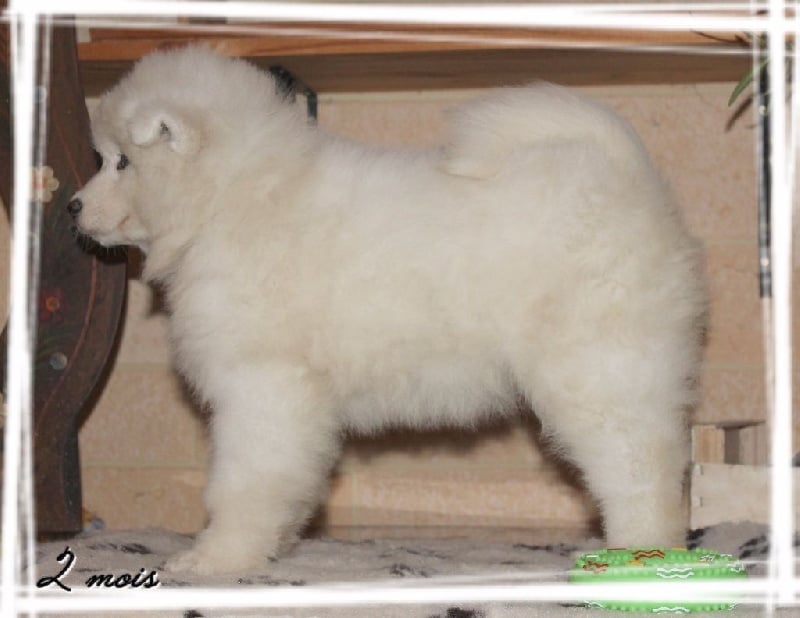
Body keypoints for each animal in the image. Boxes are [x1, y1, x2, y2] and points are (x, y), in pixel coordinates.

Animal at [70, 46, 707, 575]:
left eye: (121, 162)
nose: (72, 205)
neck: (229, 198)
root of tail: (630, 176)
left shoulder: (261, 388)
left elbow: (242, 484)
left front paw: (216, 560)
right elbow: (284, 482)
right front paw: (273, 544)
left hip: (599, 369)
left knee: (640, 467)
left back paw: (640, 554)